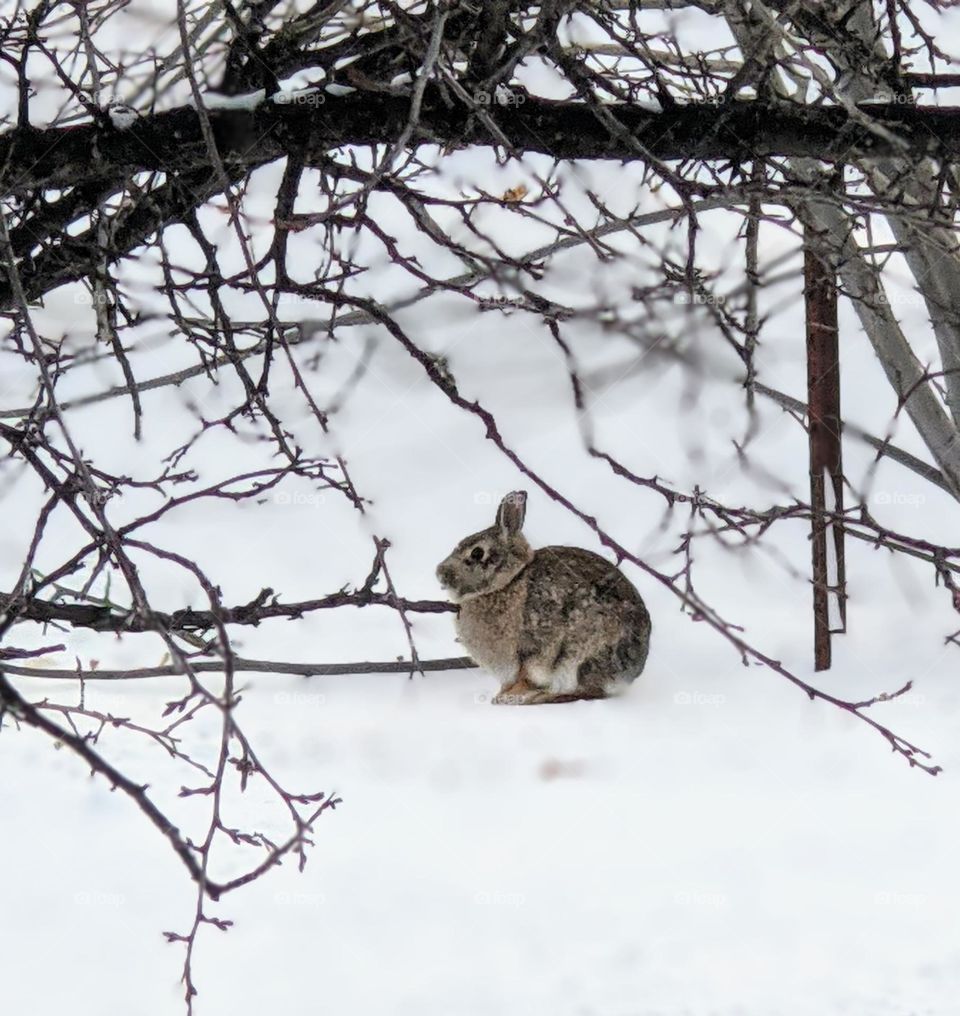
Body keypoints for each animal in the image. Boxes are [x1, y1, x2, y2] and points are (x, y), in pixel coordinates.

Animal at [436, 489, 650, 699]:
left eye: (477, 553)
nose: (440, 574)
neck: (509, 581)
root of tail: (630, 673)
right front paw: (502, 694)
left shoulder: (534, 648)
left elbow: (527, 673)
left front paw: (507, 697)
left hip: (583, 653)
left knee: (589, 690)